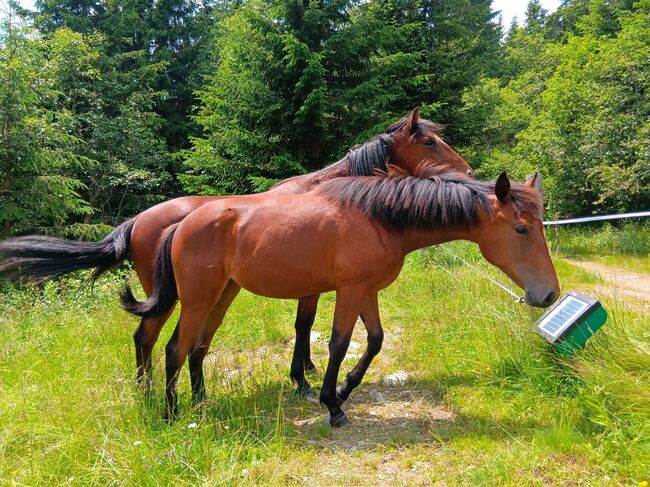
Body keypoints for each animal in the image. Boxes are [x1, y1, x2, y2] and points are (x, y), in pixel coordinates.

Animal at [0, 107, 468, 396]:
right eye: (429, 142)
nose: (466, 171)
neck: (324, 193)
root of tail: (138, 222)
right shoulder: (313, 286)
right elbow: (303, 326)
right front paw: (302, 380)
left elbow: (305, 327)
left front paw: (307, 372)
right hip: (173, 298)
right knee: (147, 338)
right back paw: (148, 394)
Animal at [124, 171, 560, 428]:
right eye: (521, 229)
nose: (549, 294)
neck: (379, 219)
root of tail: (183, 222)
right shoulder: (349, 290)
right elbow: (338, 343)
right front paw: (332, 405)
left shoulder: (366, 290)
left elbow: (375, 340)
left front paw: (346, 389)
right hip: (196, 300)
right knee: (173, 349)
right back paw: (170, 414)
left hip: (222, 296)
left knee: (197, 347)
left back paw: (198, 404)